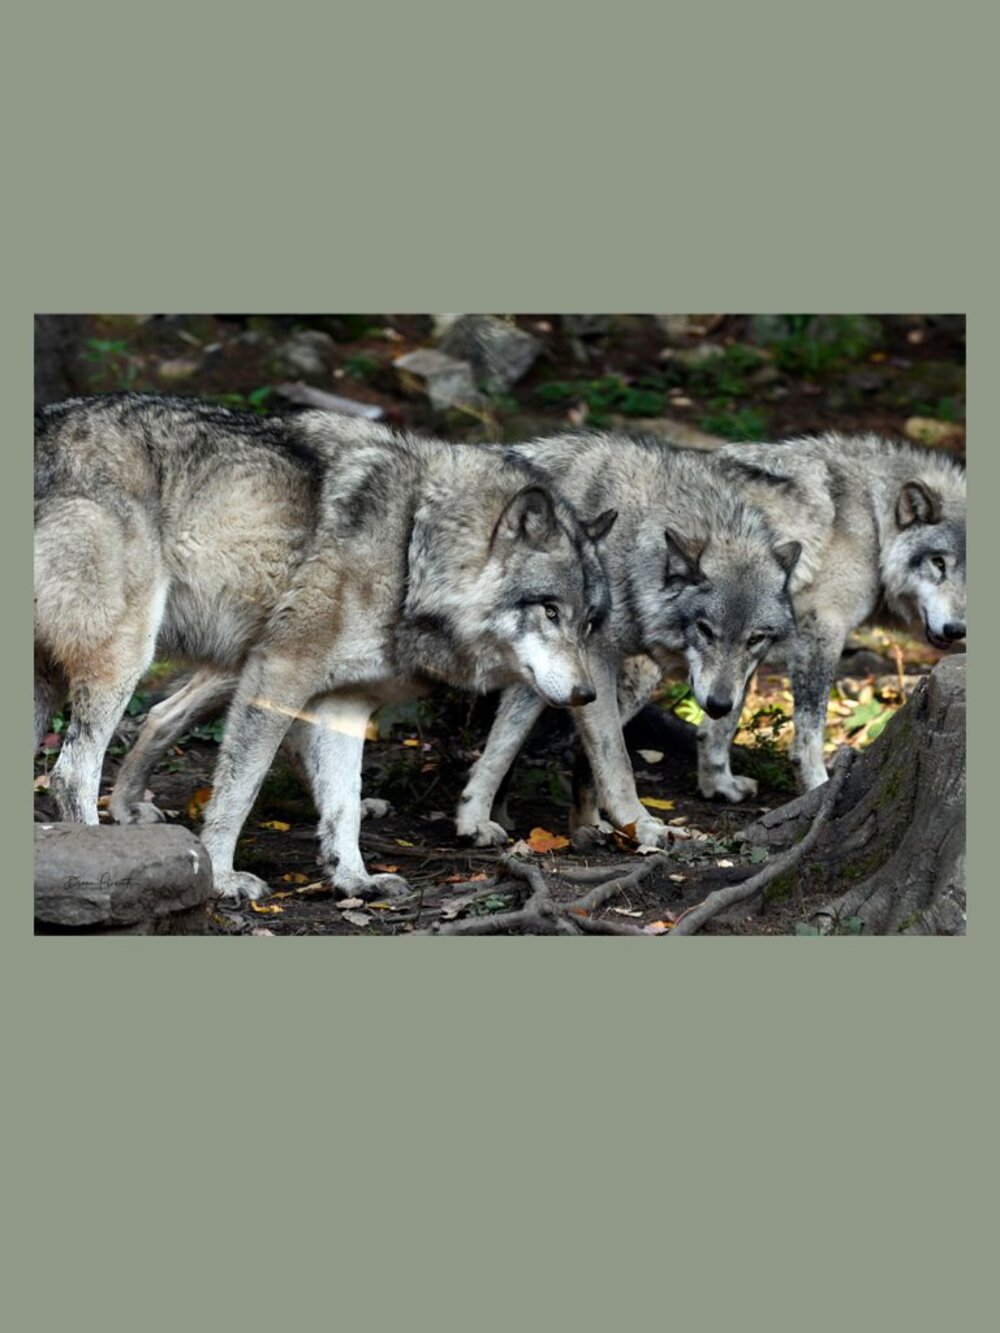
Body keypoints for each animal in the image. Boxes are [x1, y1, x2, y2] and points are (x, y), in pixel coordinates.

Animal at [34, 394, 616, 900]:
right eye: (549, 611)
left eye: (589, 622)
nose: (587, 695)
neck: (411, 548)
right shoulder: (277, 674)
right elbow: (241, 790)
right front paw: (221, 878)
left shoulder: (345, 704)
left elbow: (344, 803)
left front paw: (355, 880)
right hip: (127, 656)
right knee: (71, 775)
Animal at [455, 433, 803, 846]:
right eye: (705, 630)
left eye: (755, 639)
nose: (719, 705)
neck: (631, 548)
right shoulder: (587, 661)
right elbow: (614, 757)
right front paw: (642, 824)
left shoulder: (550, 672)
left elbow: (507, 746)